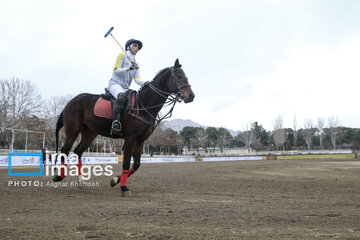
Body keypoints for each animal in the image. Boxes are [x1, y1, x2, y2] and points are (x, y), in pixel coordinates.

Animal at [54, 59, 194, 196]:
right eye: (179, 76)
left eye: (186, 76)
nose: (191, 96)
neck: (143, 106)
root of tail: (71, 101)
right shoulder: (130, 138)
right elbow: (126, 162)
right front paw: (124, 187)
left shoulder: (140, 140)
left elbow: (136, 164)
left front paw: (115, 180)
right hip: (72, 131)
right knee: (64, 151)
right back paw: (59, 176)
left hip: (90, 133)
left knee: (77, 152)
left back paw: (80, 180)